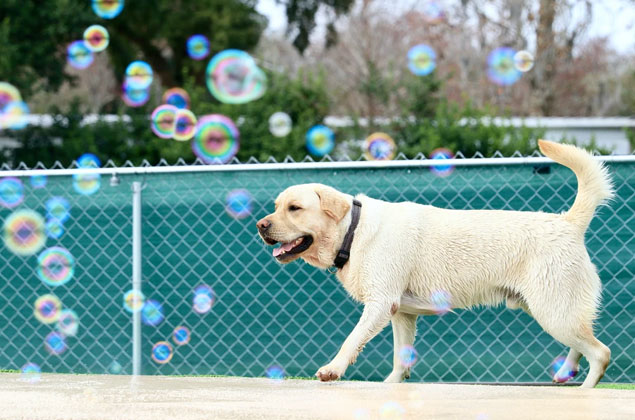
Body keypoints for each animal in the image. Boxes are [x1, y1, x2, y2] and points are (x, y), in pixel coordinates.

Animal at [258, 140, 612, 388]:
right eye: (277, 206)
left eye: (294, 208)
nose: (261, 226)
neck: (353, 232)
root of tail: (568, 222)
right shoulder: (400, 314)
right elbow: (400, 359)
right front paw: (392, 386)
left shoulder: (379, 304)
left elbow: (352, 339)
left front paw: (333, 369)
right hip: (553, 310)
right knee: (583, 341)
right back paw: (566, 372)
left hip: (553, 312)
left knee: (601, 352)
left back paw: (584, 390)